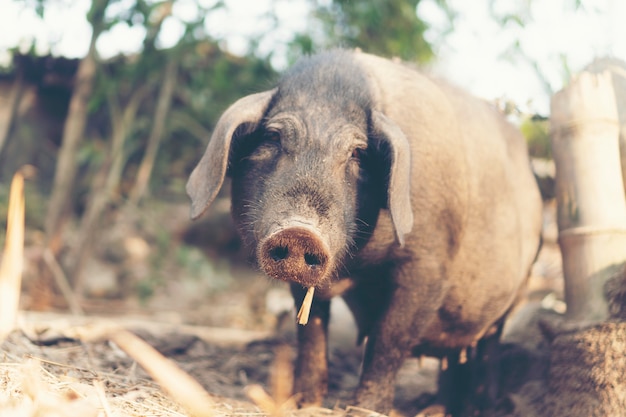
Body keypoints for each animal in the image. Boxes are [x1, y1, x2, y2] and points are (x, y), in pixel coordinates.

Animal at [185, 50, 540, 414]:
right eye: (273, 137)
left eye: (357, 152)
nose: (300, 232)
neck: (359, 266)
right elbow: (311, 329)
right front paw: (303, 403)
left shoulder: (428, 265)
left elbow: (388, 336)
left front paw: (362, 409)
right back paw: (437, 408)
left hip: (520, 285)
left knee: (489, 347)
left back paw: (480, 406)